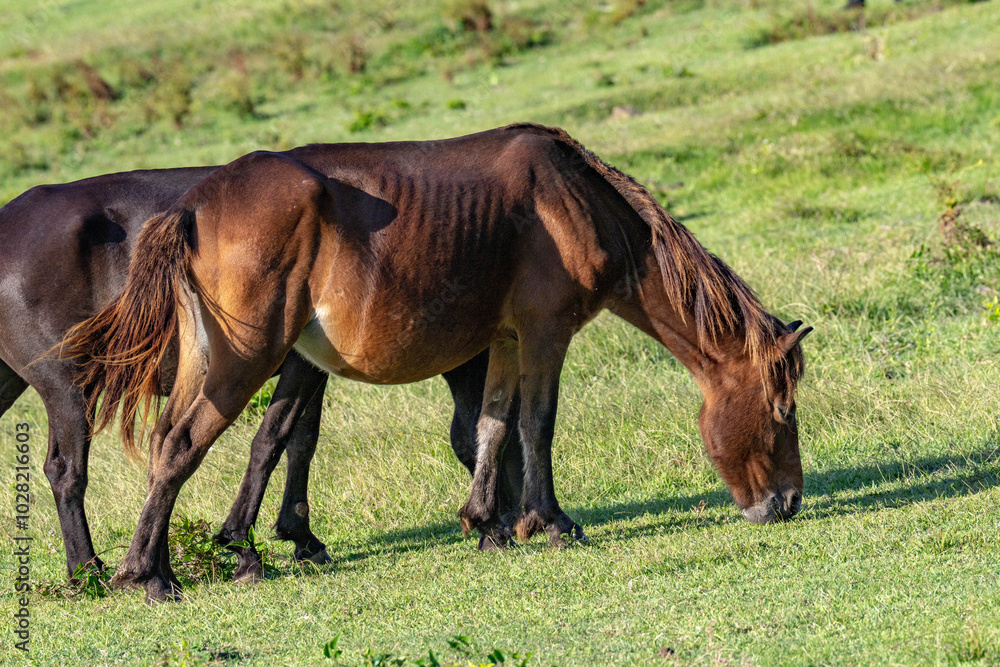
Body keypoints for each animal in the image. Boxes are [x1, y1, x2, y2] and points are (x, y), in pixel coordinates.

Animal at [1, 170, 524, 580]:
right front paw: (252, 548)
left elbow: (300, 439)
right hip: (68, 388)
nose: (516, 520)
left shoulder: (311, 366)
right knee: (66, 471)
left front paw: (298, 536)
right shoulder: (298, 363)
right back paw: (87, 570)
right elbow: (274, 437)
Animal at [62, 122, 812, 604]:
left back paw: (154, 565)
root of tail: (193, 205)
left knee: (168, 441)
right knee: (182, 446)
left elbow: (492, 427)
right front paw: (551, 521)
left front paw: (489, 524)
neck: (572, 199)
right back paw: (152, 576)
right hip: (244, 361)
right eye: (782, 410)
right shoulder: (544, 332)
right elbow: (537, 425)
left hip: (212, 359)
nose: (787, 503)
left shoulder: (505, 340)